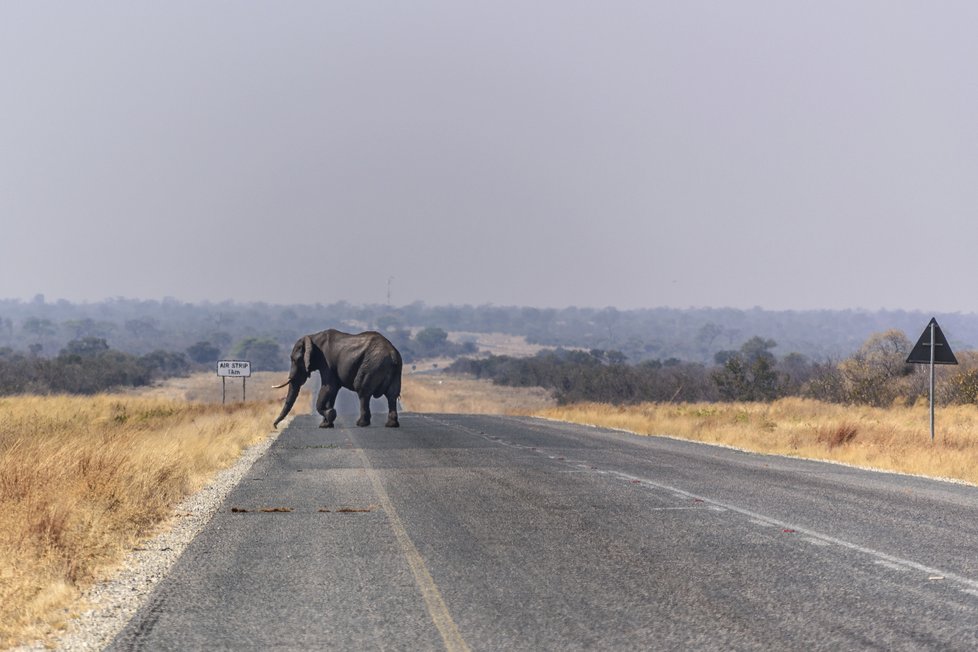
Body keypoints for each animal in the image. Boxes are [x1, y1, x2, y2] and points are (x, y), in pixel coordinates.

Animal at [270, 328, 400, 430]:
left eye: (294, 360)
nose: (275, 426)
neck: (312, 338)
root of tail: (392, 353)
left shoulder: (326, 362)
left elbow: (328, 387)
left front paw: (330, 414)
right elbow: (333, 391)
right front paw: (326, 424)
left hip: (372, 365)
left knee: (362, 390)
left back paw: (361, 424)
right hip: (395, 368)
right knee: (392, 395)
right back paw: (391, 424)